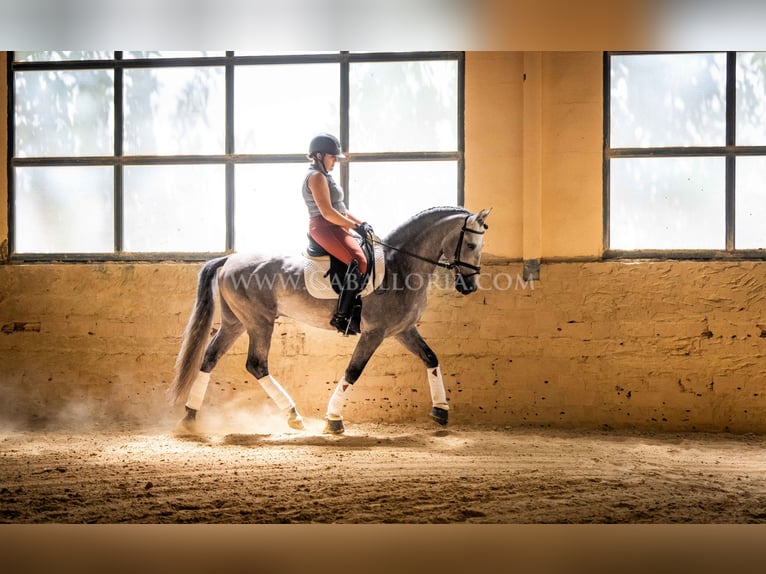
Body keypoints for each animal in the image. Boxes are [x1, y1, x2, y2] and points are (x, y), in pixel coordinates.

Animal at [168, 205, 492, 434]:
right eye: (471, 245)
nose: (469, 287)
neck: (401, 266)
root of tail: (230, 259)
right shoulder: (374, 333)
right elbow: (353, 371)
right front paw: (333, 419)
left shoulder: (403, 330)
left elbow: (431, 357)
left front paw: (441, 410)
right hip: (259, 322)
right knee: (256, 364)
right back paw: (293, 415)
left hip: (235, 322)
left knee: (210, 357)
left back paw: (190, 416)